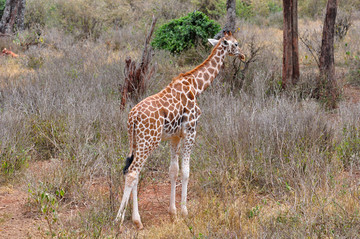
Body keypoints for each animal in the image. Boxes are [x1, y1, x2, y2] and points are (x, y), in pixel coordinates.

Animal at [115, 30, 245, 229]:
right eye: (235, 44)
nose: (243, 55)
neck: (196, 86)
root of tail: (132, 118)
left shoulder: (175, 137)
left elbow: (173, 170)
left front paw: (173, 211)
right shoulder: (191, 131)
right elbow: (186, 171)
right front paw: (184, 211)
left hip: (136, 142)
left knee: (133, 172)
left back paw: (135, 218)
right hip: (148, 141)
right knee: (133, 173)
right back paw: (122, 219)